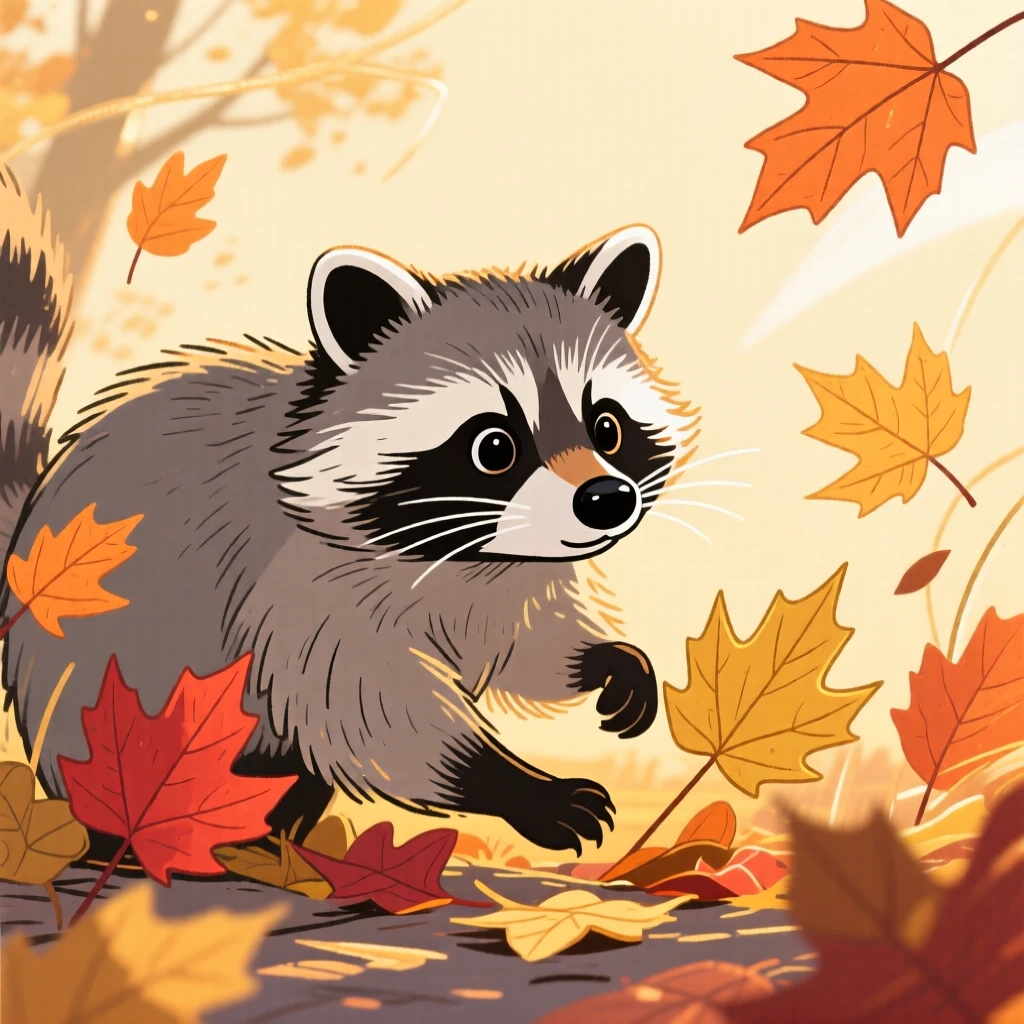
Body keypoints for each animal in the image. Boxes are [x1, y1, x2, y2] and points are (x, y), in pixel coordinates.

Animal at [0, 167, 696, 855]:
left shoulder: (505, 581)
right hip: (103, 691)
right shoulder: (302, 584)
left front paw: (601, 660)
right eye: (494, 446)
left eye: (606, 427)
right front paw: (513, 785)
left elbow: (520, 645)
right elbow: (367, 706)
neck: (469, 550)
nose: (606, 500)